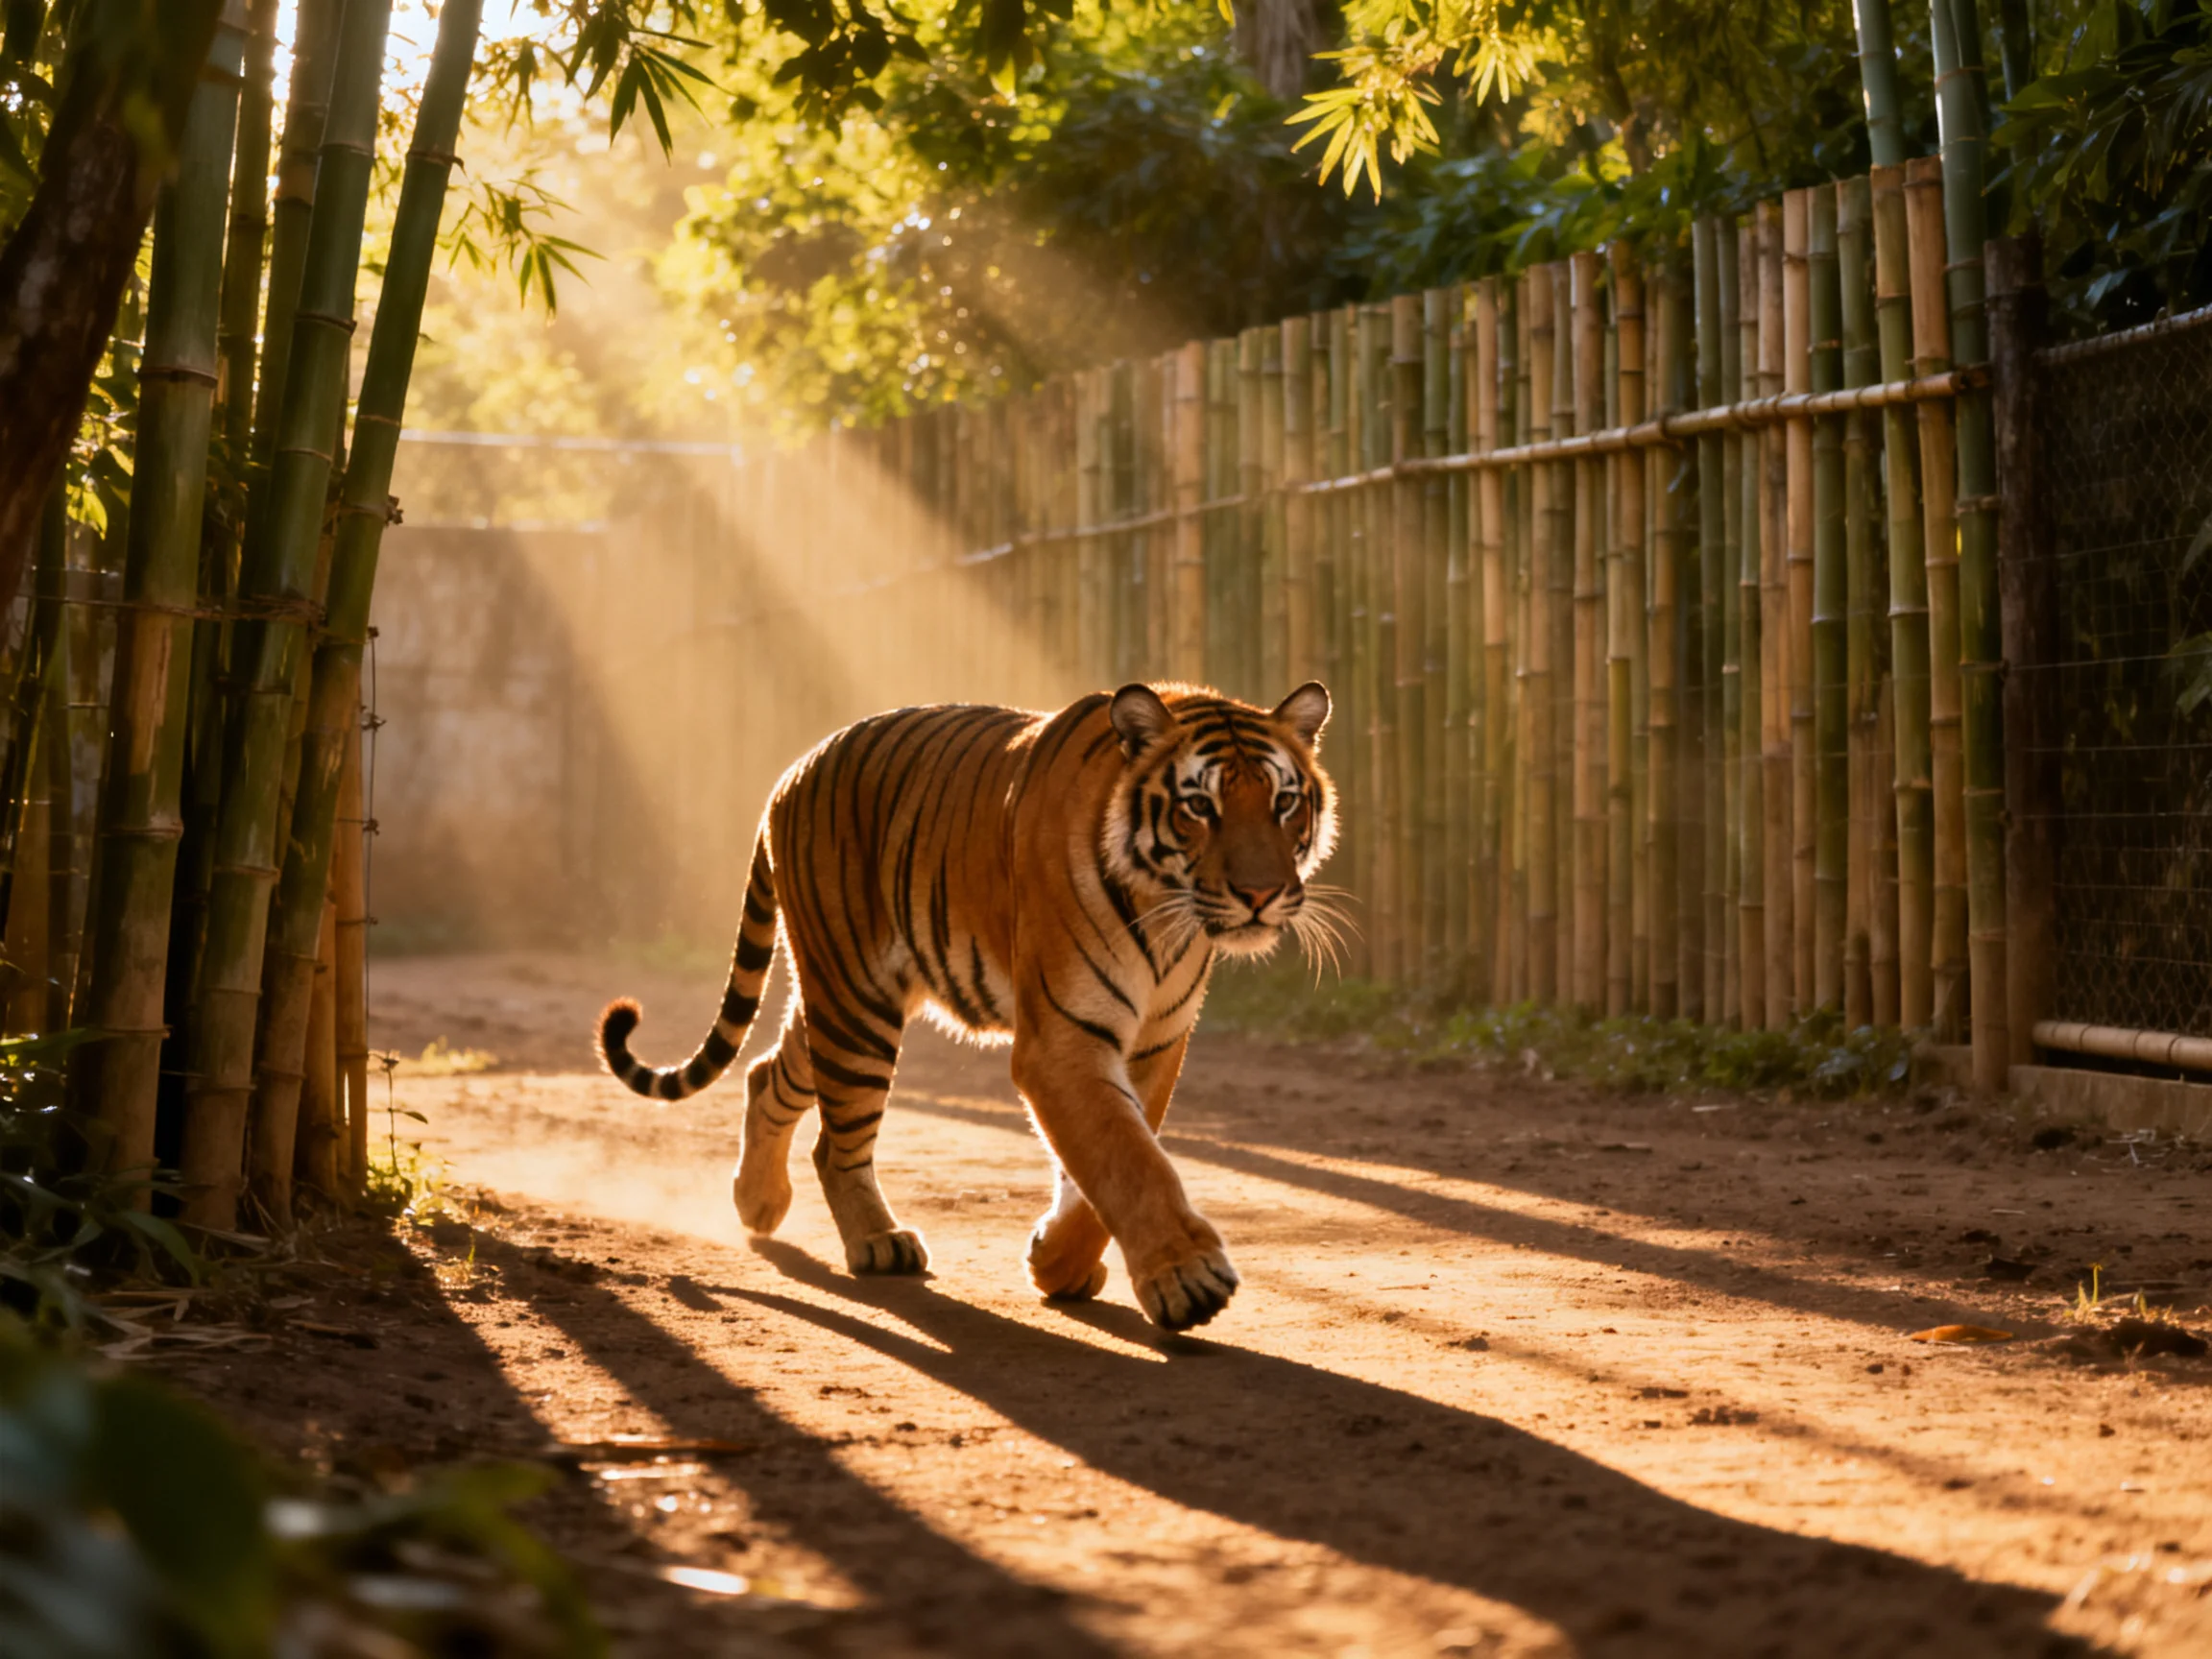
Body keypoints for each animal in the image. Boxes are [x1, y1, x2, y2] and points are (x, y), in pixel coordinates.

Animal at [595, 680, 1338, 1332]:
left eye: (1283, 802)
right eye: (1199, 807)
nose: (1261, 894)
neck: (1168, 919)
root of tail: (789, 773)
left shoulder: (1154, 1042)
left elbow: (1108, 1161)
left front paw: (1059, 1264)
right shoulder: (1062, 1041)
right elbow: (1128, 1159)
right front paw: (1188, 1281)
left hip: (839, 1002)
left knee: (767, 1074)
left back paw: (759, 1201)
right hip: (855, 1004)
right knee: (837, 1145)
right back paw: (877, 1242)